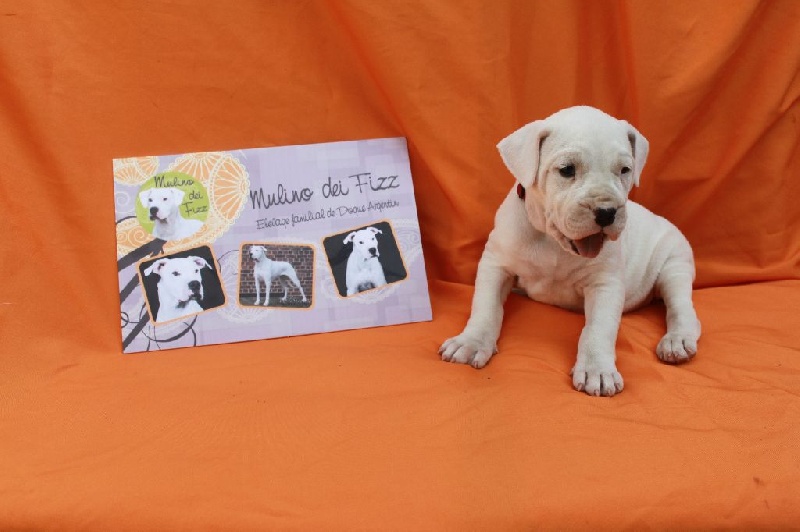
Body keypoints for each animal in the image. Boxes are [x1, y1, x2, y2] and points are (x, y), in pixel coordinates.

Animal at [439, 106, 701, 397]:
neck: (553, 242)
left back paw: (677, 340)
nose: (607, 212)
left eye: (624, 170)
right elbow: (486, 306)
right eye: (566, 170)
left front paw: (597, 370)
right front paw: (471, 342)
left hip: (675, 265)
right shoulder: (496, 263)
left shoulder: (605, 284)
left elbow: (598, 328)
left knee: (681, 307)